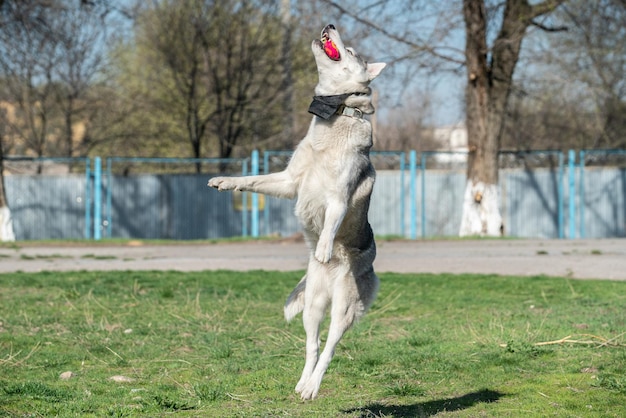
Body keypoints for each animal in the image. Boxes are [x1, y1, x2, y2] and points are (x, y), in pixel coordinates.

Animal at [210, 24, 382, 400]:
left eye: (350, 50)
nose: (330, 25)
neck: (335, 118)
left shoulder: (339, 198)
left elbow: (330, 224)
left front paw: (324, 248)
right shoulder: (290, 181)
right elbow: (253, 180)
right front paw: (225, 181)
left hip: (344, 307)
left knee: (331, 347)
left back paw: (314, 385)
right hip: (314, 305)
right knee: (313, 346)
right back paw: (304, 383)